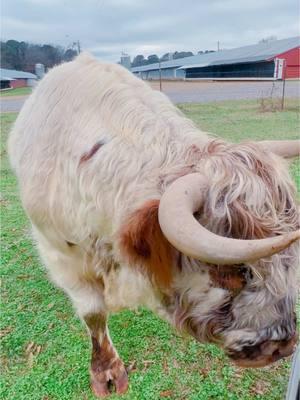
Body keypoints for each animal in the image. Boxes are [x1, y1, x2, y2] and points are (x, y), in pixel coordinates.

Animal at [8, 54, 298, 396]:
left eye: (290, 261)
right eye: (228, 271)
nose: (281, 345)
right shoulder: (60, 254)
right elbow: (93, 314)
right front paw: (106, 372)